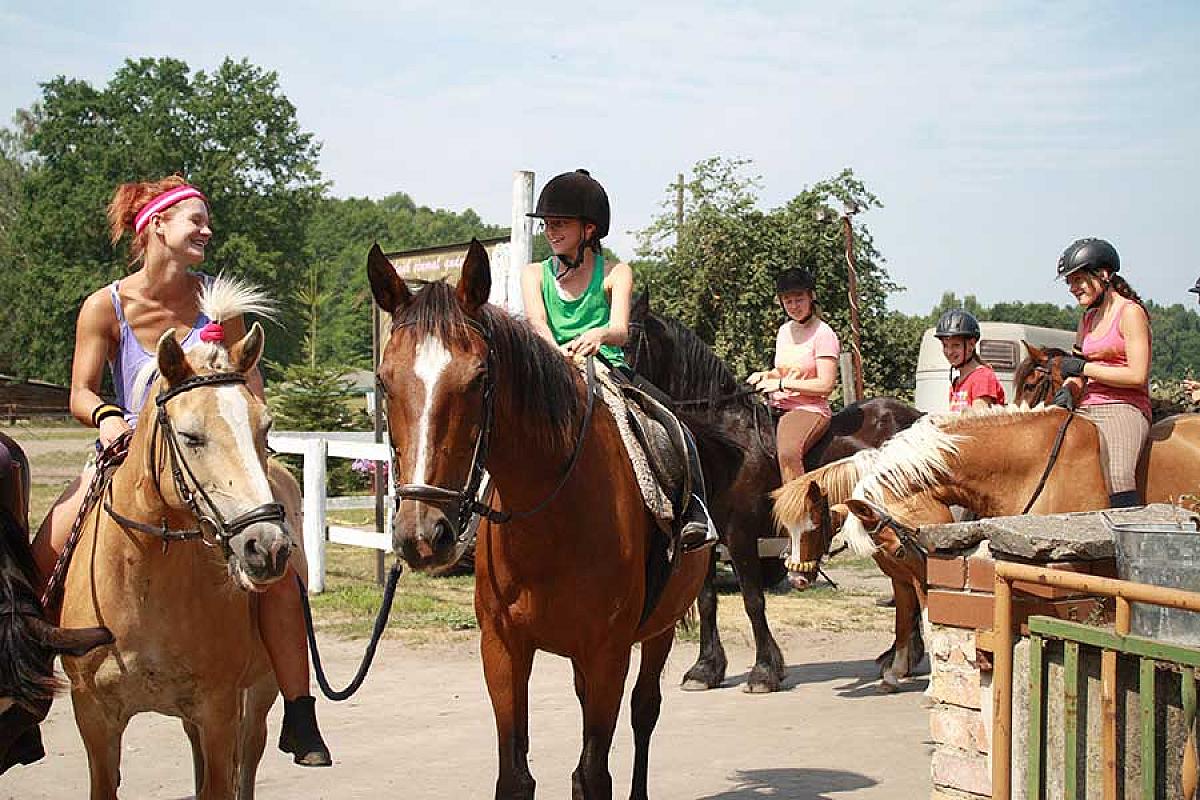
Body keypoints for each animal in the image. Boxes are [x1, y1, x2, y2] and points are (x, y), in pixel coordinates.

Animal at [368, 241, 740, 800]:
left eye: (479, 379)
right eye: (384, 381)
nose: (423, 535)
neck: (551, 517)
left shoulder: (608, 653)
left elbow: (593, 775)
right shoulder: (502, 649)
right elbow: (516, 776)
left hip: (658, 631)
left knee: (644, 713)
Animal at [625, 292, 922, 692]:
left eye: (627, 336)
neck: (726, 442)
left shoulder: (740, 535)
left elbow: (753, 600)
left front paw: (765, 671)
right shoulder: (705, 539)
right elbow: (707, 600)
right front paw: (705, 669)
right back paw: (901, 657)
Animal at [774, 406, 1112, 690]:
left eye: (813, 525)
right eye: (788, 530)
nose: (796, 578)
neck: (1033, 468)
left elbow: (927, 618)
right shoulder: (902, 576)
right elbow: (904, 618)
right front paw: (897, 671)